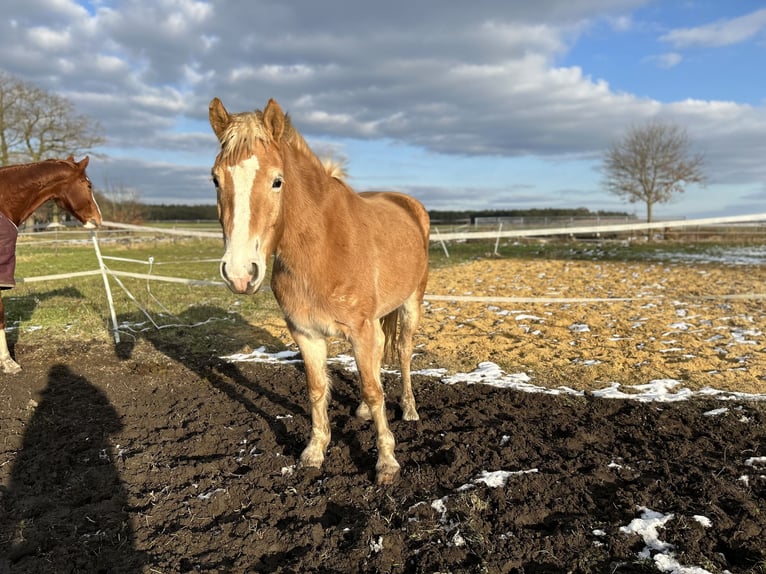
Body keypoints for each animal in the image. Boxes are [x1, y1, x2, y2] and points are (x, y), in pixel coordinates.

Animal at [208, 99, 432, 486]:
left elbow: (374, 390)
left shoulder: (360, 330)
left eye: (277, 181)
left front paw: (387, 462)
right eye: (216, 179)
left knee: (403, 353)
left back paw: (409, 408)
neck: (322, 246)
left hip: (410, 305)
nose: (239, 273)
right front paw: (314, 452)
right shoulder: (305, 333)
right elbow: (317, 389)